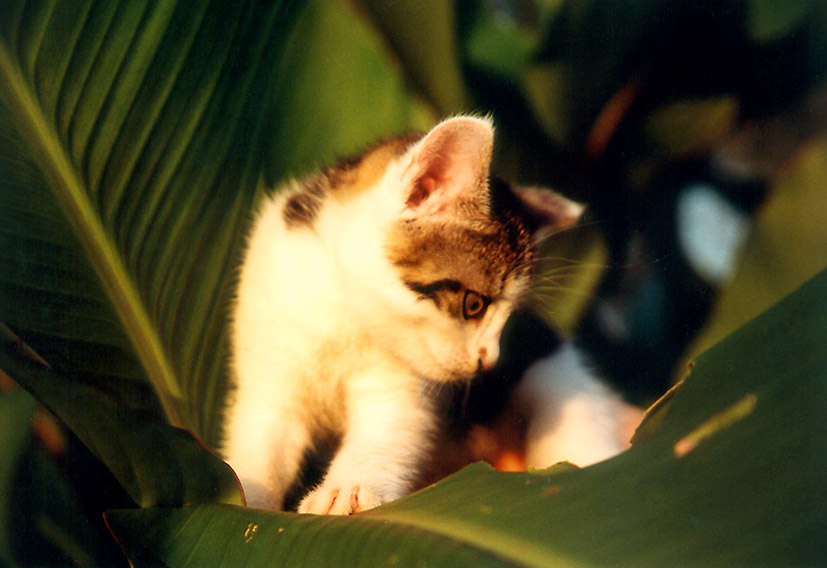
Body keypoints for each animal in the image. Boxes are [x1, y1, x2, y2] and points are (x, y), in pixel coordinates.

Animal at [220, 116, 584, 516]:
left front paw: (348, 490)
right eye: (474, 304)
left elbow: (390, 430)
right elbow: (261, 441)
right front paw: (246, 499)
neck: (346, 312)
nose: (489, 361)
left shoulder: (402, 391)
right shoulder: (270, 361)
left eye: (509, 315)